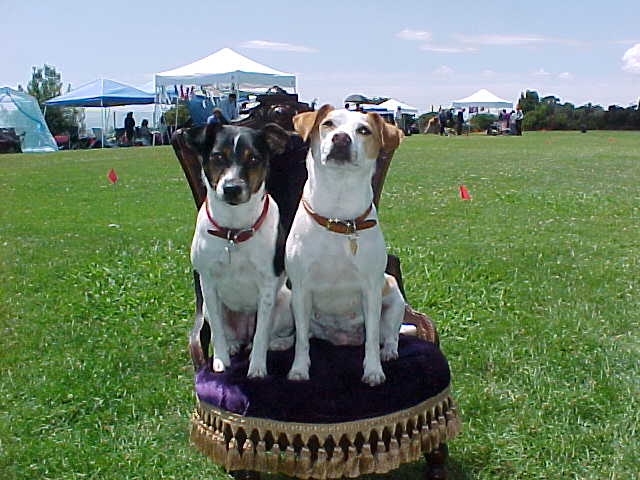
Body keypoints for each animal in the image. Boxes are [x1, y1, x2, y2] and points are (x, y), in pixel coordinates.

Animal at [185, 122, 296, 376]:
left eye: (253, 158)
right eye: (217, 156)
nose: (232, 188)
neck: (233, 232)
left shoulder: (267, 288)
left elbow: (261, 333)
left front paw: (257, 367)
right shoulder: (208, 285)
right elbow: (216, 331)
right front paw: (220, 360)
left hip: (285, 301)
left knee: (271, 336)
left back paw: (275, 344)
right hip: (210, 308)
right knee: (228, 333)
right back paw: (234, 345)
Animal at [284, 108, 404, 386]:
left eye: (364, 130)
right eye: (328, 124)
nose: (340, 138)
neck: (338, 217)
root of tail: (342, 338)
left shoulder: (371, 290)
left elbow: (372, 337)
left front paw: (373, 371)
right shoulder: (301, 289)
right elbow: (301, 341)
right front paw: (299, 369)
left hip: (394, 298)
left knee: (390, 335)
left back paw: (389, 351)